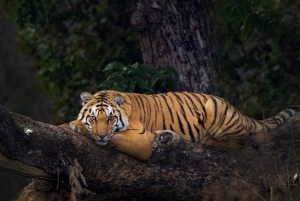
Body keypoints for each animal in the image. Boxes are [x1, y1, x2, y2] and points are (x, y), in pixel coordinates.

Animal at [64, 90, 296, 160]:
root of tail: (238, 110)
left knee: (241, 142)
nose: (101, 135)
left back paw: (209, 140)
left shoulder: (142, 140)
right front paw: (72, 124)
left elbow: (116, 136)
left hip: (214, 108)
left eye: (111, 119)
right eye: (94, 118)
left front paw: (78, 127)